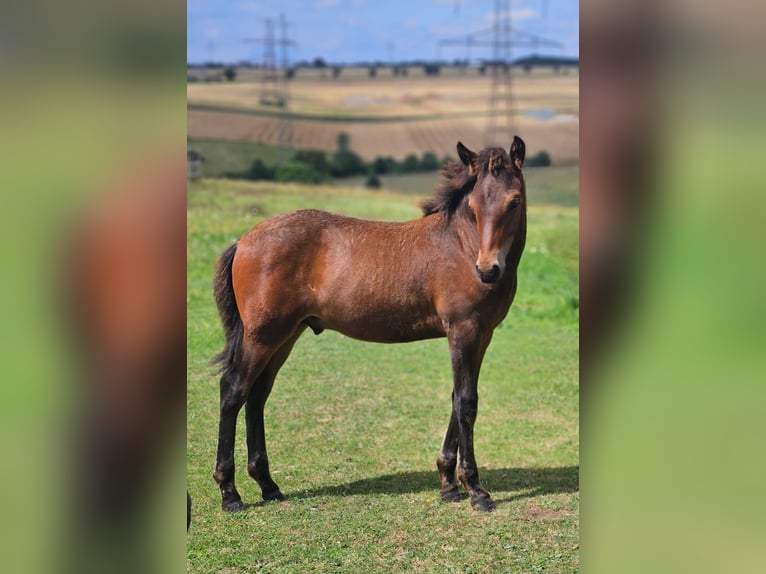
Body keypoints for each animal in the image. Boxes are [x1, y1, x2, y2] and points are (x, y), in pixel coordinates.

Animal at [214, 137, 528, 516]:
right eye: (473, 204)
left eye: (514, 200)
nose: (488, 270)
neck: (462, 246)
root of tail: (243, 240)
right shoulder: (462, 331)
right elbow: (466, 403)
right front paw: (476, 490)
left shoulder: (482, 335)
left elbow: (457, 399)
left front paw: (448, 485)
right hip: (261, 335)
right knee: (233, 391)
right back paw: (230, 493)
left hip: (285, 336)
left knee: (257, 395)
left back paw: (268, 484)